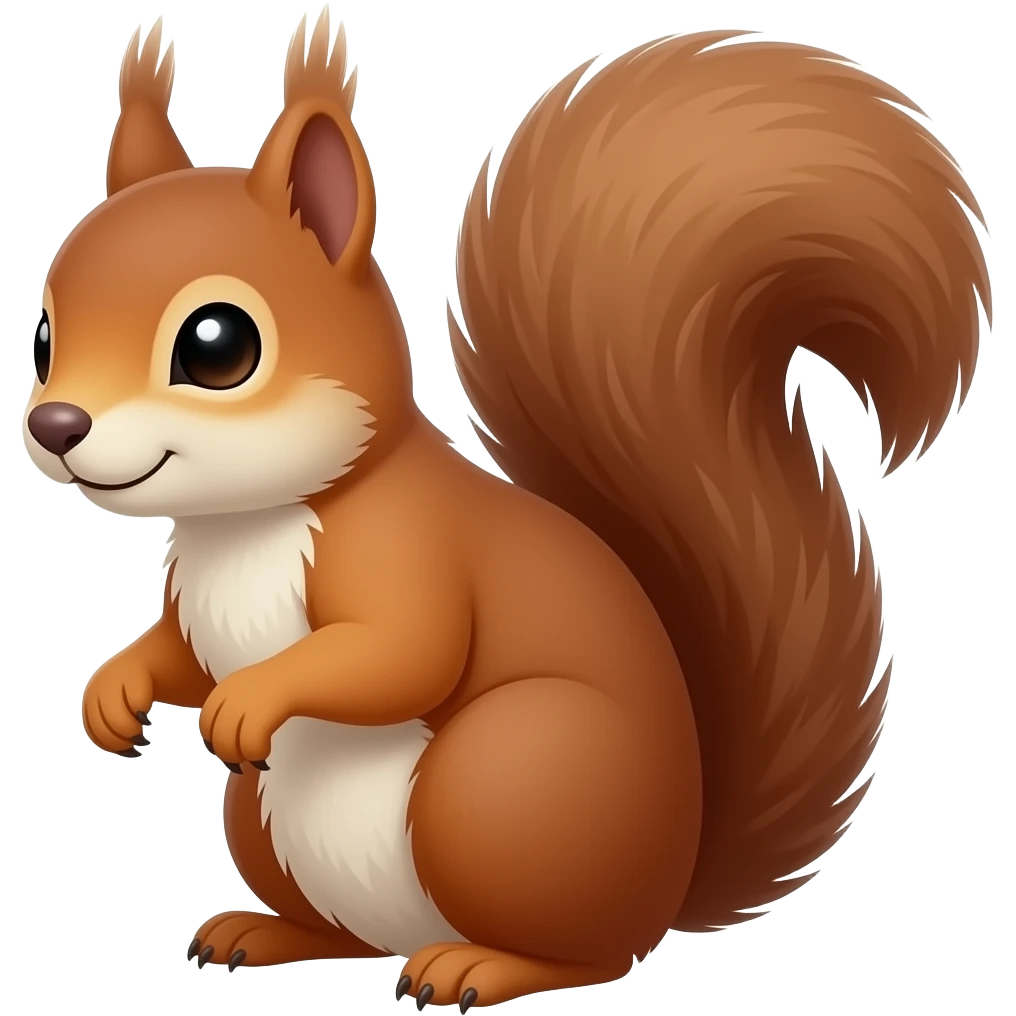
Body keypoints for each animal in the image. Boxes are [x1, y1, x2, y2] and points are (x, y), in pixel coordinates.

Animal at [24, 9, 990, 1010]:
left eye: (218, 346)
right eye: (45, 335)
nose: (55, 425)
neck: (250, 521)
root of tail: (669, 883)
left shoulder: (408, 548)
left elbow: (402, 651)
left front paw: (250, 697)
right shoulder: (196, 601)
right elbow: (179, 653)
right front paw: (114, 690)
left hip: (504, 780)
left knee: (591, 953)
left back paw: (479, 967)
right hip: (265, 816)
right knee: (350, 936)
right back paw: (265, 932)